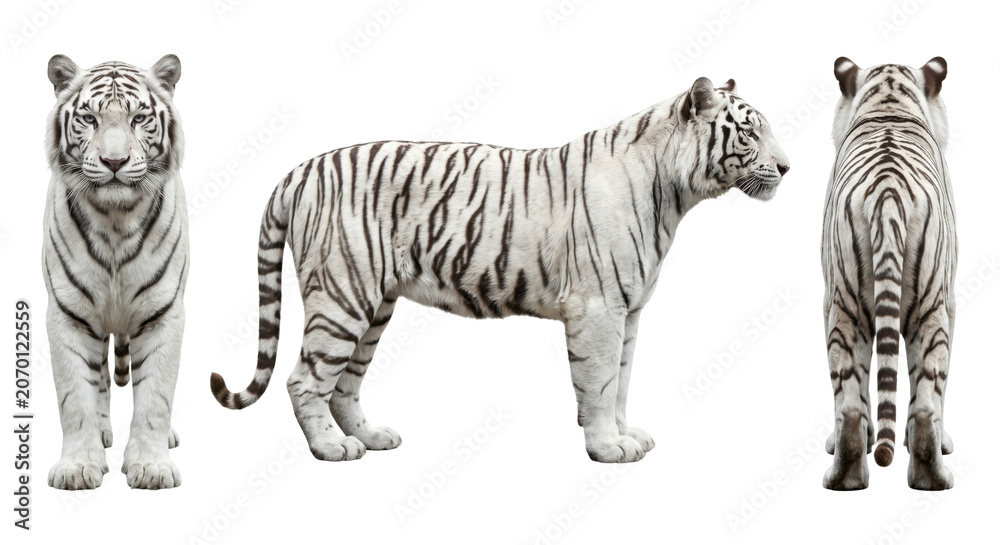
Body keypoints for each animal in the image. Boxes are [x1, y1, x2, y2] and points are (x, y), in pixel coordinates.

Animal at [42, 54, 188, 489]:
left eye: (139, 118)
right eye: (89, 118)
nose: (114, 162)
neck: (115, 219)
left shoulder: (163, 313)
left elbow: (155, 397)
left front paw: (152, 467)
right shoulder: (68, 315)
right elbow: (76, 398)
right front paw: (77, 467)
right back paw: (104, 432)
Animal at [210, 77, 790, 463]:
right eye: (749, 133)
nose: (787, 167)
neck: (673, 193)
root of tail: (299, 169)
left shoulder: (630, 310)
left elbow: (622, 379)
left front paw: (629, 436)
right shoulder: (599, 308)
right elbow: (600, 381)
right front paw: (607, 447)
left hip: (374, 306)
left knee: (344, 382)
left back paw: (372, 438)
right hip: (342, 296)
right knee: (305, 378)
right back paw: (332, 448)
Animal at [821, 57, 957, 490]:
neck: (889, 104)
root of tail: (888, 191)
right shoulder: (951, 301)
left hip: (846, 309)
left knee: (853, 405)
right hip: (928, 308)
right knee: (920, 401)